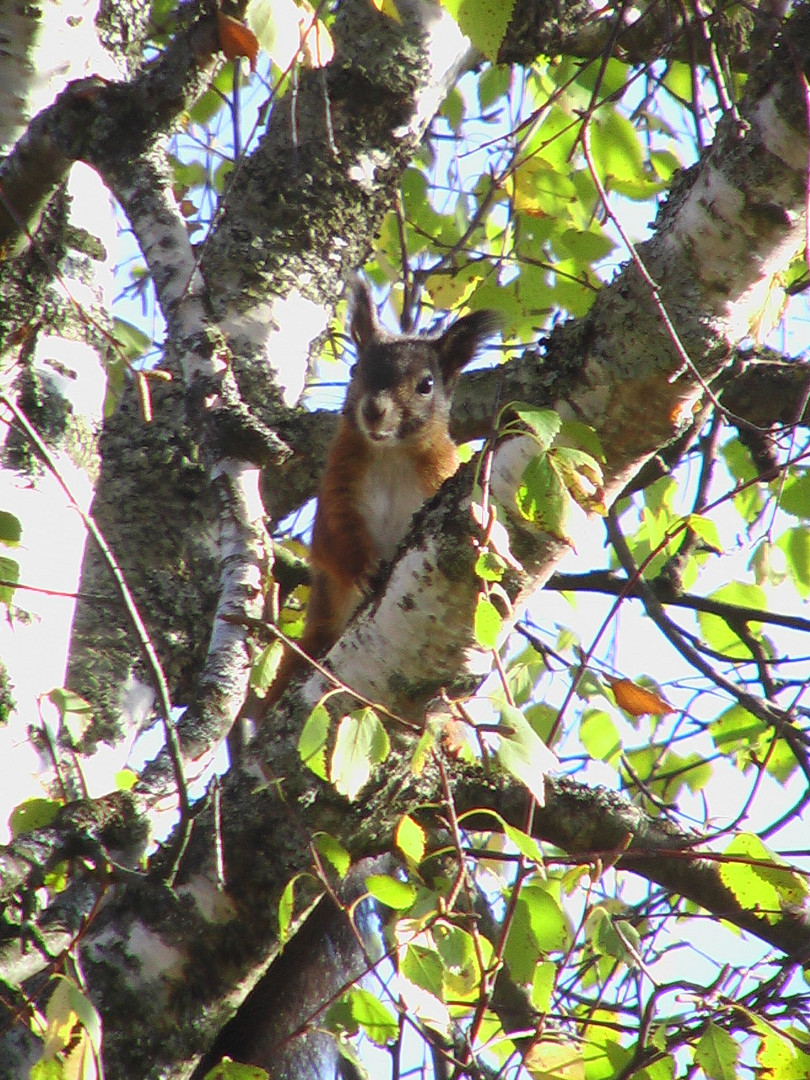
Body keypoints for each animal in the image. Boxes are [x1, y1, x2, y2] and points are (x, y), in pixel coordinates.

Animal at [257, 278, 498, 708]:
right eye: (354, 369)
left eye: (426, 385)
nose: (374, 410)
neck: (391, 454)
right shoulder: (337, 493)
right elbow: (336, 541)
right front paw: (367, 571)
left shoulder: (440, 476)